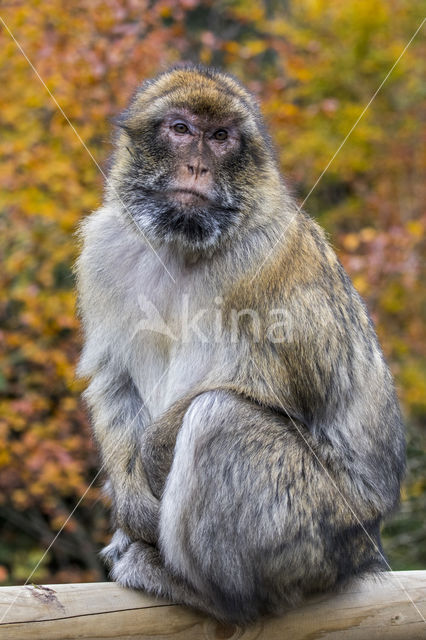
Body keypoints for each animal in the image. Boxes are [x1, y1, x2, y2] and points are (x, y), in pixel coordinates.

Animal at [75, 66, 404, 624]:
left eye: (221, 137)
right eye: (181, 129)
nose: (197, 165)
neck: (182, 244)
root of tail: (369, 546)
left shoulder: (271, 251)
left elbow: (290, 383)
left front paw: (153, 452)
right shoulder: (105, 248)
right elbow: (112, 376)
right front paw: (132, 505)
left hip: (317, 530)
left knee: (219, 418)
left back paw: (203, 592)